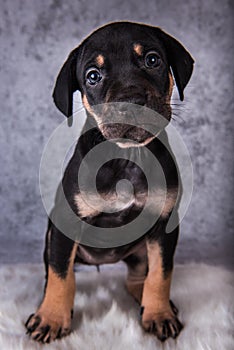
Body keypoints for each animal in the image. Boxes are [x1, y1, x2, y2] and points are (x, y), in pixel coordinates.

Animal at [25, 22, 194, 344]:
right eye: (93, 76)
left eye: (152, 60)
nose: (131, 101)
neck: (126, 156)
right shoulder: (65, 225)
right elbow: (60, 276)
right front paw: (51, 318)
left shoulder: (164, 224)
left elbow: (161, 274)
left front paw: (159, 314)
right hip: (53, 239)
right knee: (58, 272)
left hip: (141, 250)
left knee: (139, 276)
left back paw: (150, 303)